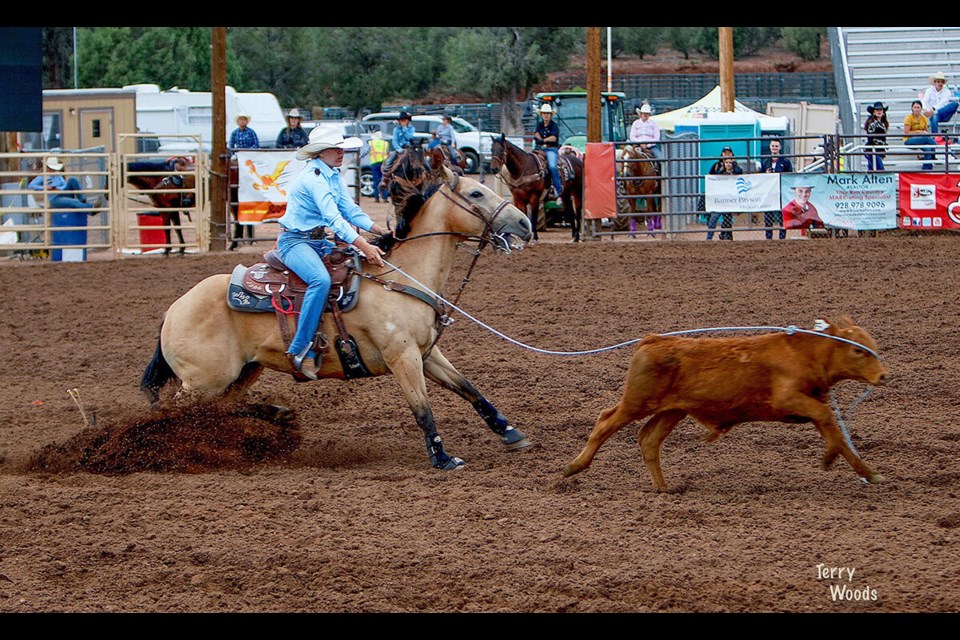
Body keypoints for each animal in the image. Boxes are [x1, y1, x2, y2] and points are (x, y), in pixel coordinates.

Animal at [140, 166, 536, 470]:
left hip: (239, 374)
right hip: (204, 380)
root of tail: (173, 310)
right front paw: (443, 458)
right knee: (171, 415)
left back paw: (273, 418)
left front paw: (511, 433)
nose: (525, 223)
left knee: (216, 412)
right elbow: (422, 409)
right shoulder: (402, 357)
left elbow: (470, 389)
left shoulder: (426, 353)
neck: (401, 279)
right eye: (476, 193)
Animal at [564, 316, 892, 490]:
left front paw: (861, 470)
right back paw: (574, 466)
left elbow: (833, 431)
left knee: (648, 439)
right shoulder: (789, 398)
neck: (806, 353)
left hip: (672, 411)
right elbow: (826, 417)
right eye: (858, 351)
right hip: (637, 402)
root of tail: (653, 340)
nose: (884, 376)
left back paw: (663, 488)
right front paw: (834, 461)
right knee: (605, 421)